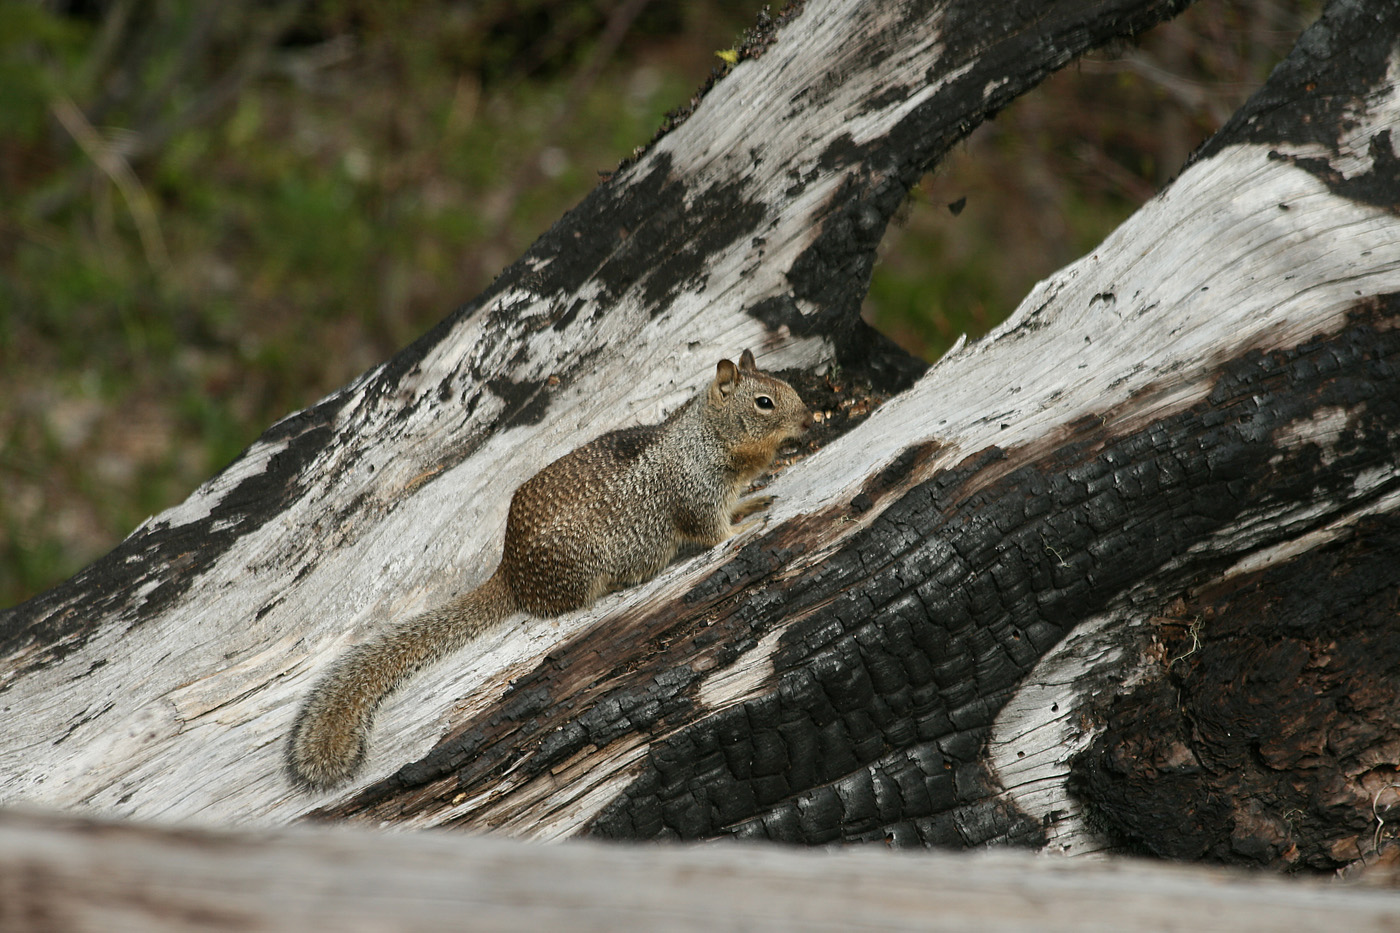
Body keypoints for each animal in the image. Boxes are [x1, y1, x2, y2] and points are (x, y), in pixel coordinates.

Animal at [287, 350, 812, 788]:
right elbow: (714, 532)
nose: (808, 420)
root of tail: (511, 574)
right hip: (580, 574)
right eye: (765, 402)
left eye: (786, 385)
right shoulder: (697, 495)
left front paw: (755, 501)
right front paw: (746, 527)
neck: (708, 437)